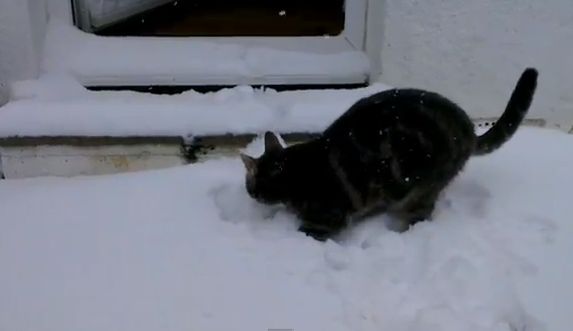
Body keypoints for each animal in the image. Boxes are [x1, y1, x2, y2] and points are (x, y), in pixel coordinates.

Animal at [237, 68, 536, 244]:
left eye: (250, 184)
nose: (249, 193)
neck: (294, 172)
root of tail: (468, 129)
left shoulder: (325, 219)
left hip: (418, 190)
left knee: (420, 213)